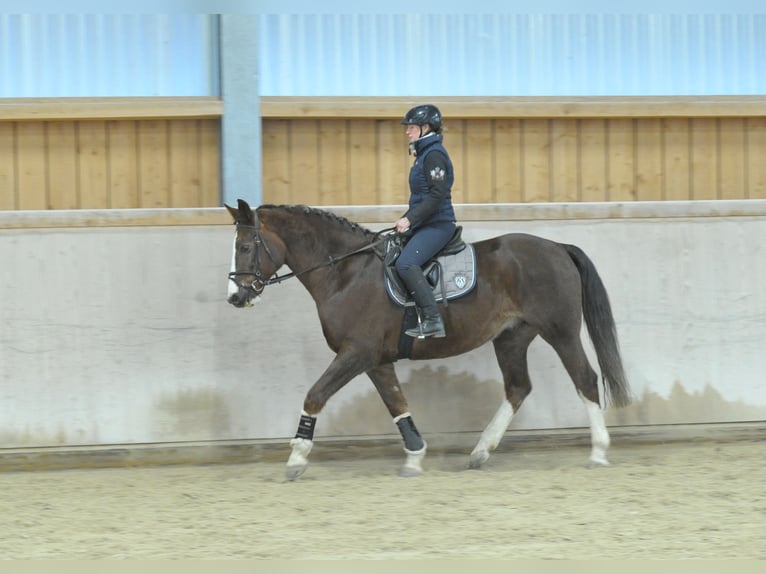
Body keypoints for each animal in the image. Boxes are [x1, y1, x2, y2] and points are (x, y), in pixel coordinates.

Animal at [225, 199, 632, 480]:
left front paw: (296, 458)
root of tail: (558, 247)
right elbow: (397, 404)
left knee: (585, 380)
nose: (235, 297)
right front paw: (415, 456)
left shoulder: (356, 353)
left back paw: (598, 453)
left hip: (560, 332)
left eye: (245, 247)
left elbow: (315, 395)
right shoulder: (375, 360)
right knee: (518, 388)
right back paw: (480, 451)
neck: (345, 272)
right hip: (511, 338)